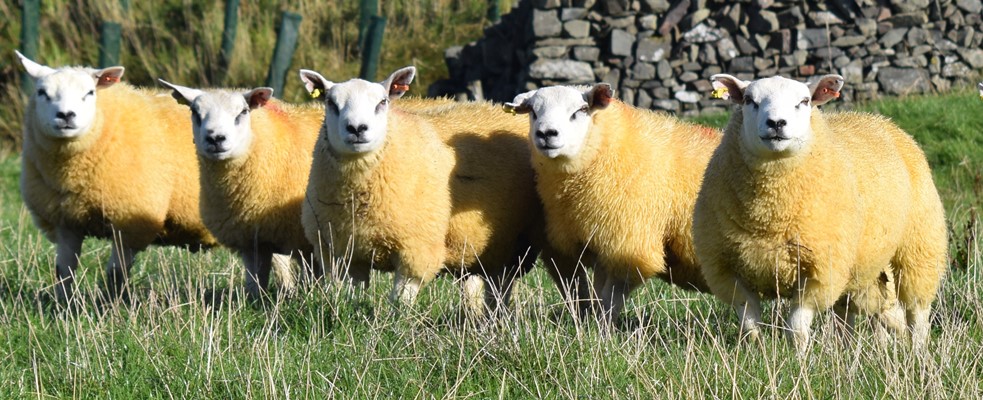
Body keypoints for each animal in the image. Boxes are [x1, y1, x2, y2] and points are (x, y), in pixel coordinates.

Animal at [15, 50, 216, 300]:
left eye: (90, 93)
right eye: (42, 92)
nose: (66, 115)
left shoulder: (130, 221)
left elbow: (116, 274)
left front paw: (113, 304)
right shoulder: (66, 222)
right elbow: (64, 271)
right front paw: (63, 304)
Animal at [158, 79, 326, 298]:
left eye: (243, 112)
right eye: (195, 112)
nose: (215, 138)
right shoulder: (253, 240)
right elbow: (256, 282)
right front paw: (260, 301)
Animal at [300, 65, 544, 312]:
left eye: (382, 102)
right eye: (331, 102)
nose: (357, 128)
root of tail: (493, 106)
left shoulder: (417, 250)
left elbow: (400, 302)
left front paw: (397, 320)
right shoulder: (343, 253)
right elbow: (352, 297)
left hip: (512, 246)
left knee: (502, 284)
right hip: (477, 245)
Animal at [508, 83, 724, 318]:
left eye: (581, 110)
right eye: (533, 111)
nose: (546, 133)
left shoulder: (628, 247)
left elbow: (610, 299)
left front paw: (604, 326)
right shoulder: (599, 245)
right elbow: (596, 293)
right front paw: (590, 322)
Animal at [696, 73, 948, 352]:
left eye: (804, 101)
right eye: (750, 100)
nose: (776, 123)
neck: (769, 214)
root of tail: (878, 119)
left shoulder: (820, 271)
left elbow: (796, 327)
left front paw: (798, 358)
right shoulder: (727, 271)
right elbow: (749, 324)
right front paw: (756, 352)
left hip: (919, 245)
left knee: (916, 311)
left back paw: (918, 351)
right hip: (862, 267)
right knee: (858, 312)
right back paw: (853, 348)